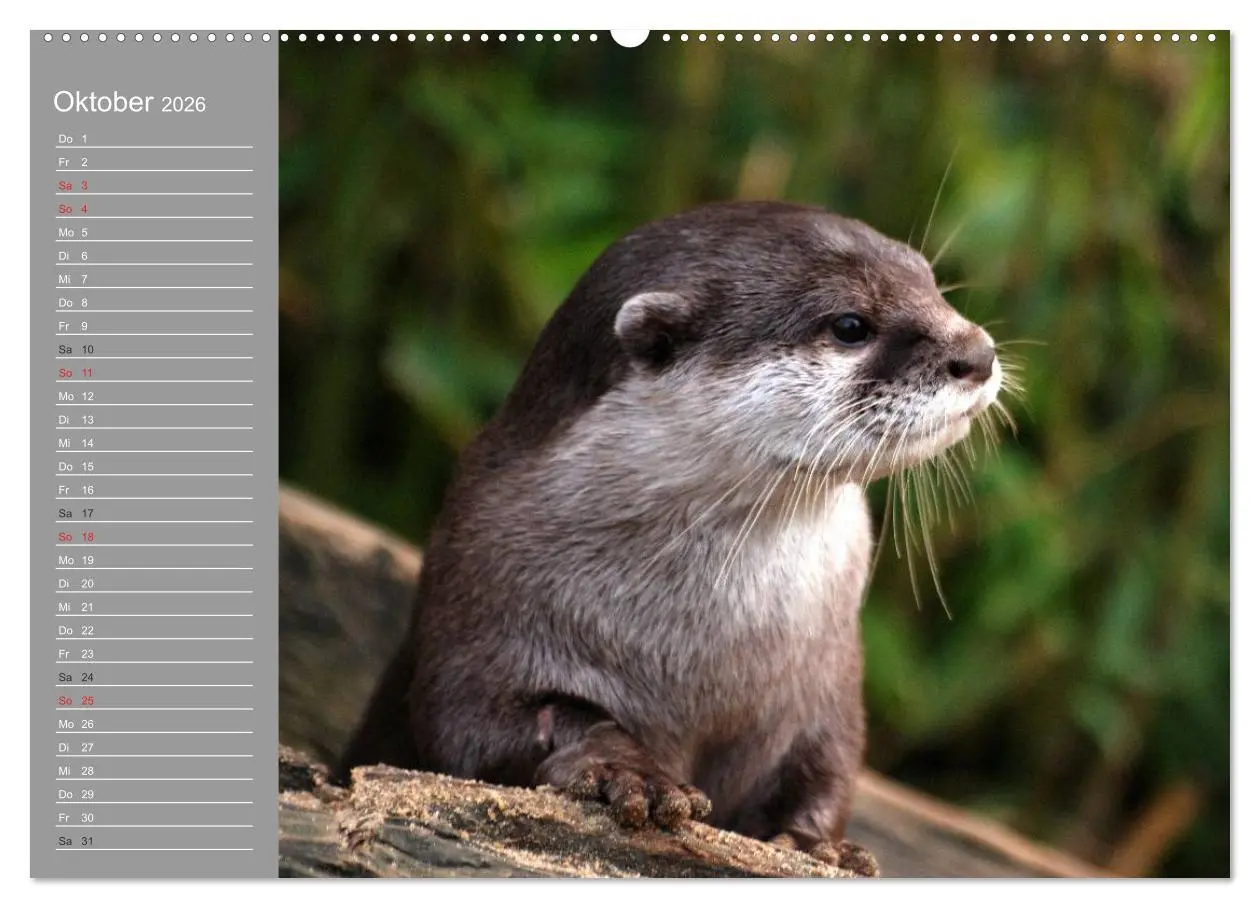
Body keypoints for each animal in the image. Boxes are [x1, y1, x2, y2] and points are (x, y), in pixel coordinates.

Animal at [338, 200, 1004, 864]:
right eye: (849, 325)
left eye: (930, 282)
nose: (978, 353)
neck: (704, 653)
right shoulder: (477, 598)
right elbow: (476, 726)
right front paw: (625, 771)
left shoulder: (828, 684)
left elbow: (829, 766)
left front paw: (818, 843)